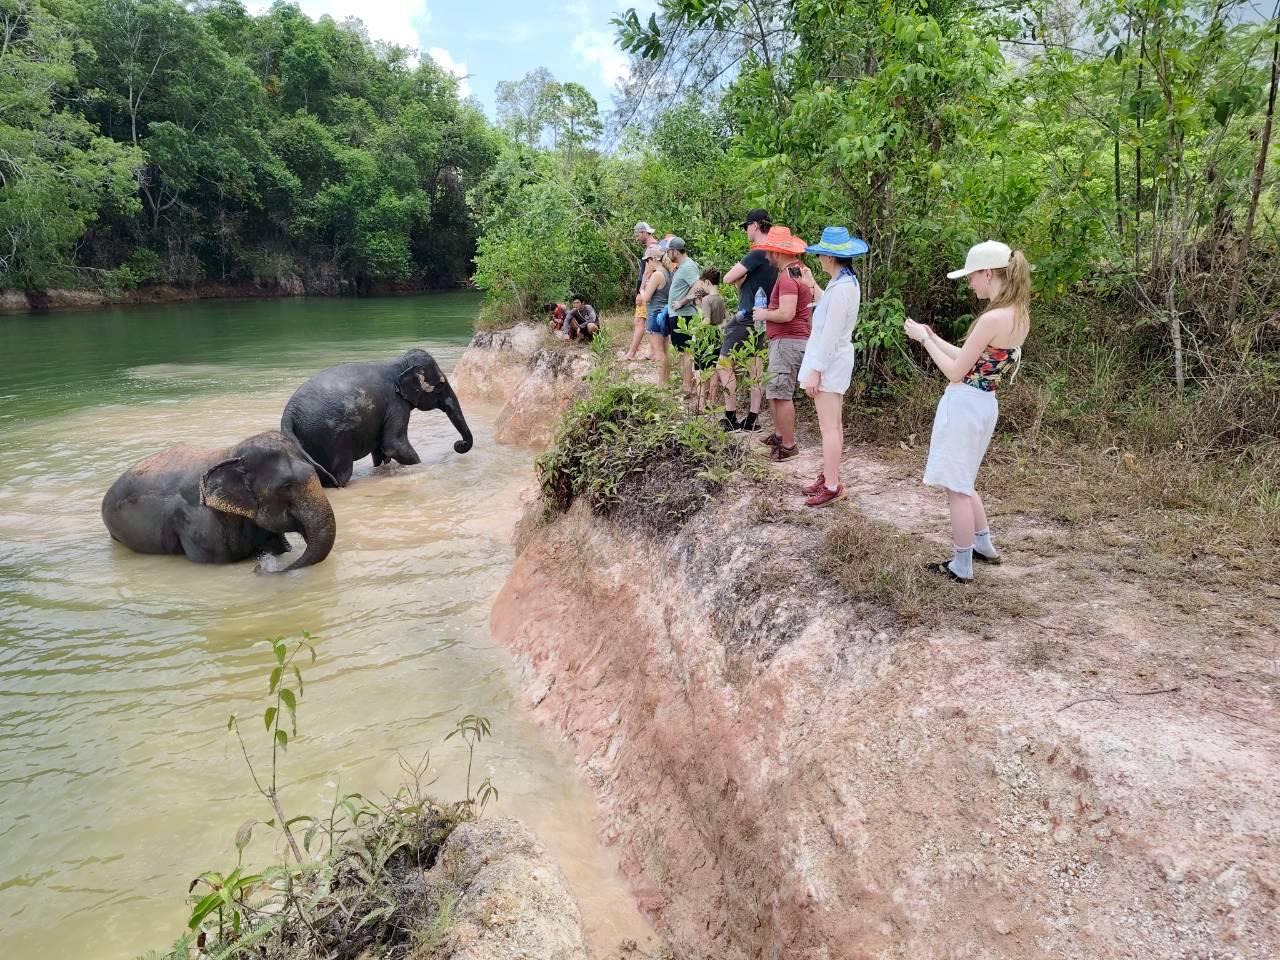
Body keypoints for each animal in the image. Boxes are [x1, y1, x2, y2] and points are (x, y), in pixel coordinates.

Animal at [280, 348, 473, 488]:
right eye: (441, 385)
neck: (400, 363)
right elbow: (393, 444)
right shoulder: (396, 404)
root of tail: (289, 412)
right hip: (330, 437)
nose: (459, 444)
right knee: (341, 474)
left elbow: (380, 450)